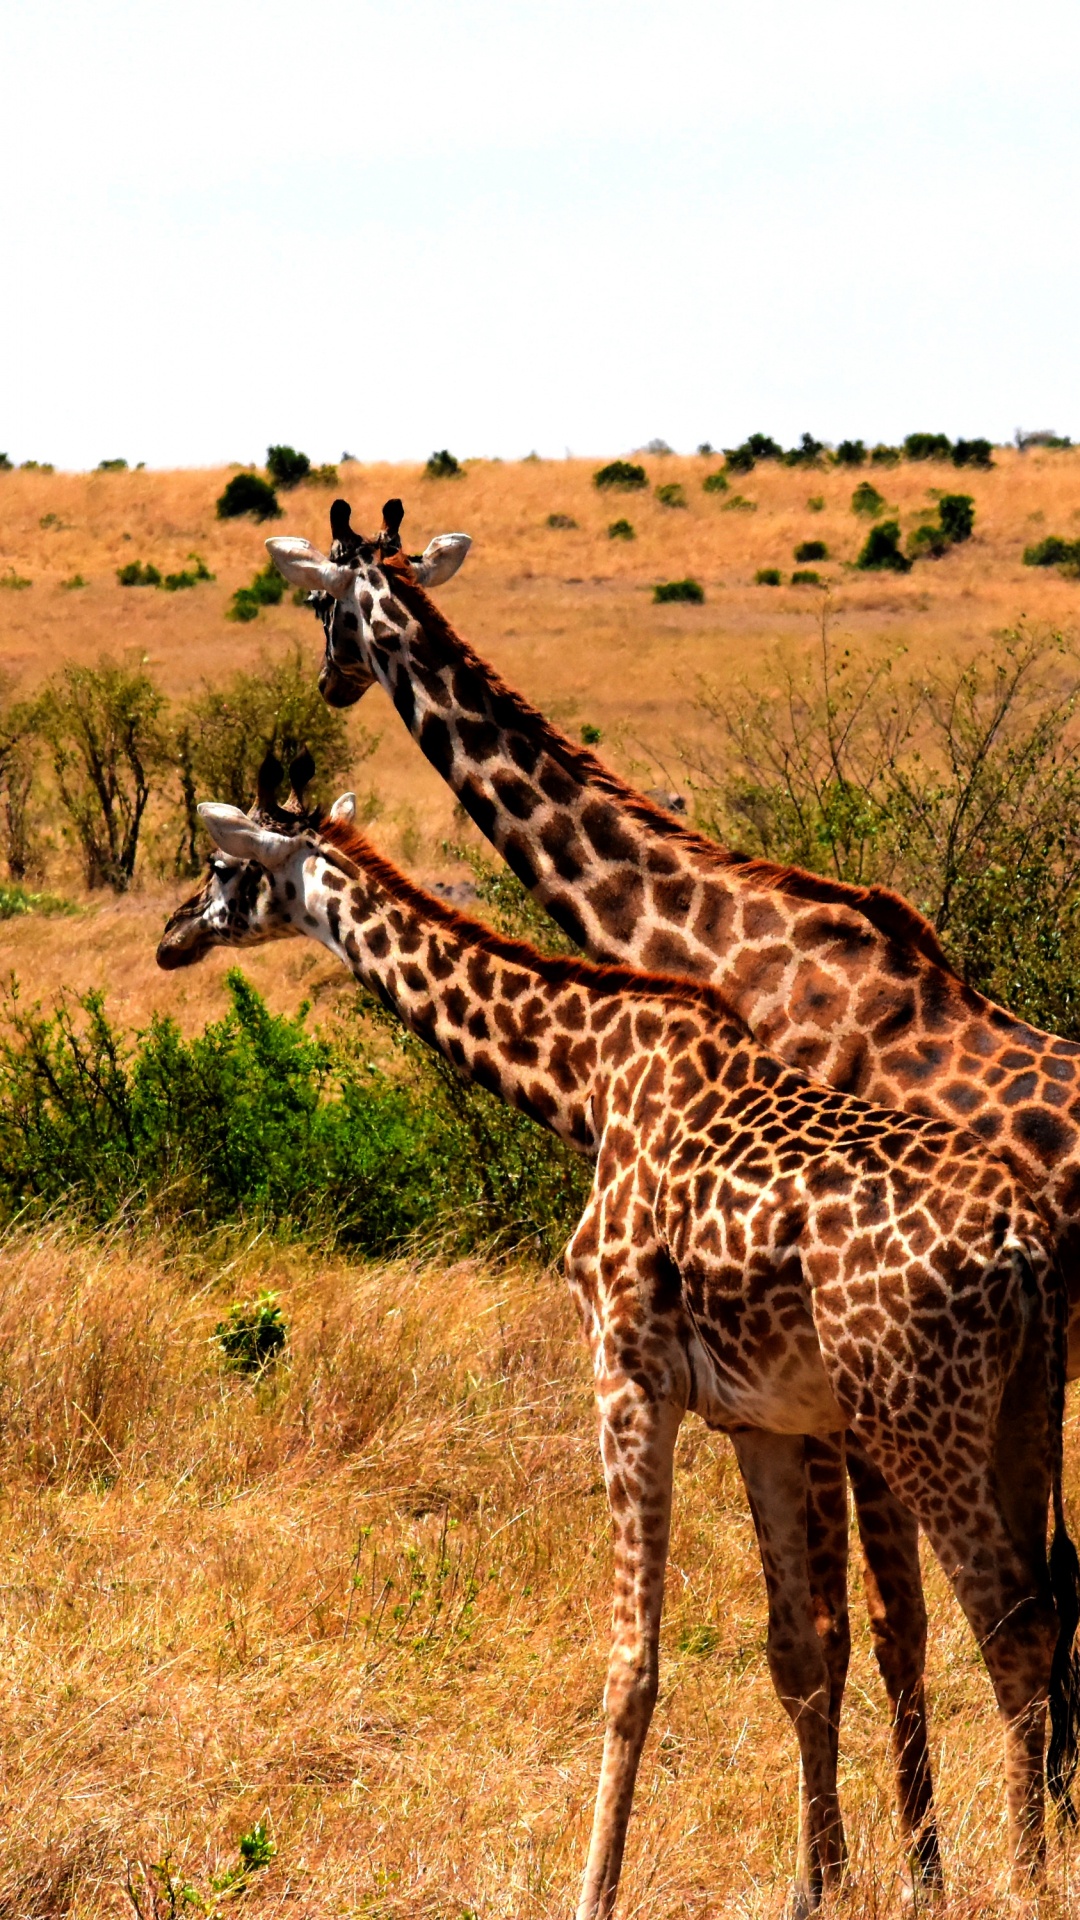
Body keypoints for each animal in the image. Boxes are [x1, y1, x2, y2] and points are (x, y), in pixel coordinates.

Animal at [264, 499, 1080, 1887]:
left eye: (320, 607)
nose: (323, 684)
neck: (726, 947)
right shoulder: (807, 1391)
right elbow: (859, 1631)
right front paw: (892, 1866)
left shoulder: (816, 1382)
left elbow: (874, 1627)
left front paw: (901, 1873)